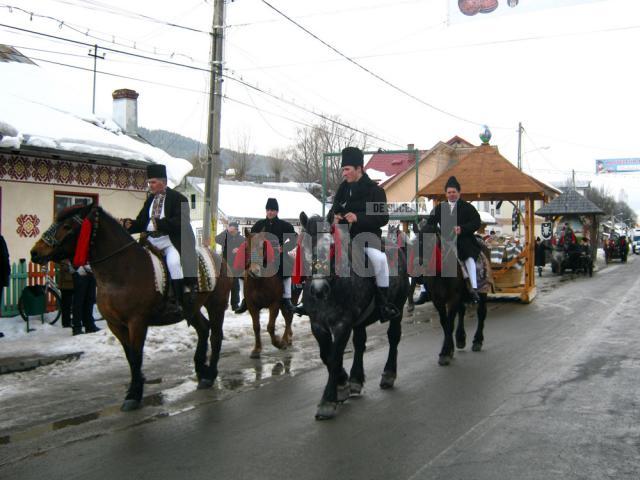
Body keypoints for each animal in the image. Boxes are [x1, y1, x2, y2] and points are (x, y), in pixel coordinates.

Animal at [29, 204, 232, 410]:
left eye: (67, 226)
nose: (35, 253)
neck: (121, 271)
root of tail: (219, 257)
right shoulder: (115, 324)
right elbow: (129, 356)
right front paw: (136, 386)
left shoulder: (137, 322)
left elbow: (136, 355)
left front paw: (134, 394)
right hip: (192, 308)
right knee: (203, 329)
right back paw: (201, 369)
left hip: (216, 305)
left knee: (215, 336)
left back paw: (210, 374)